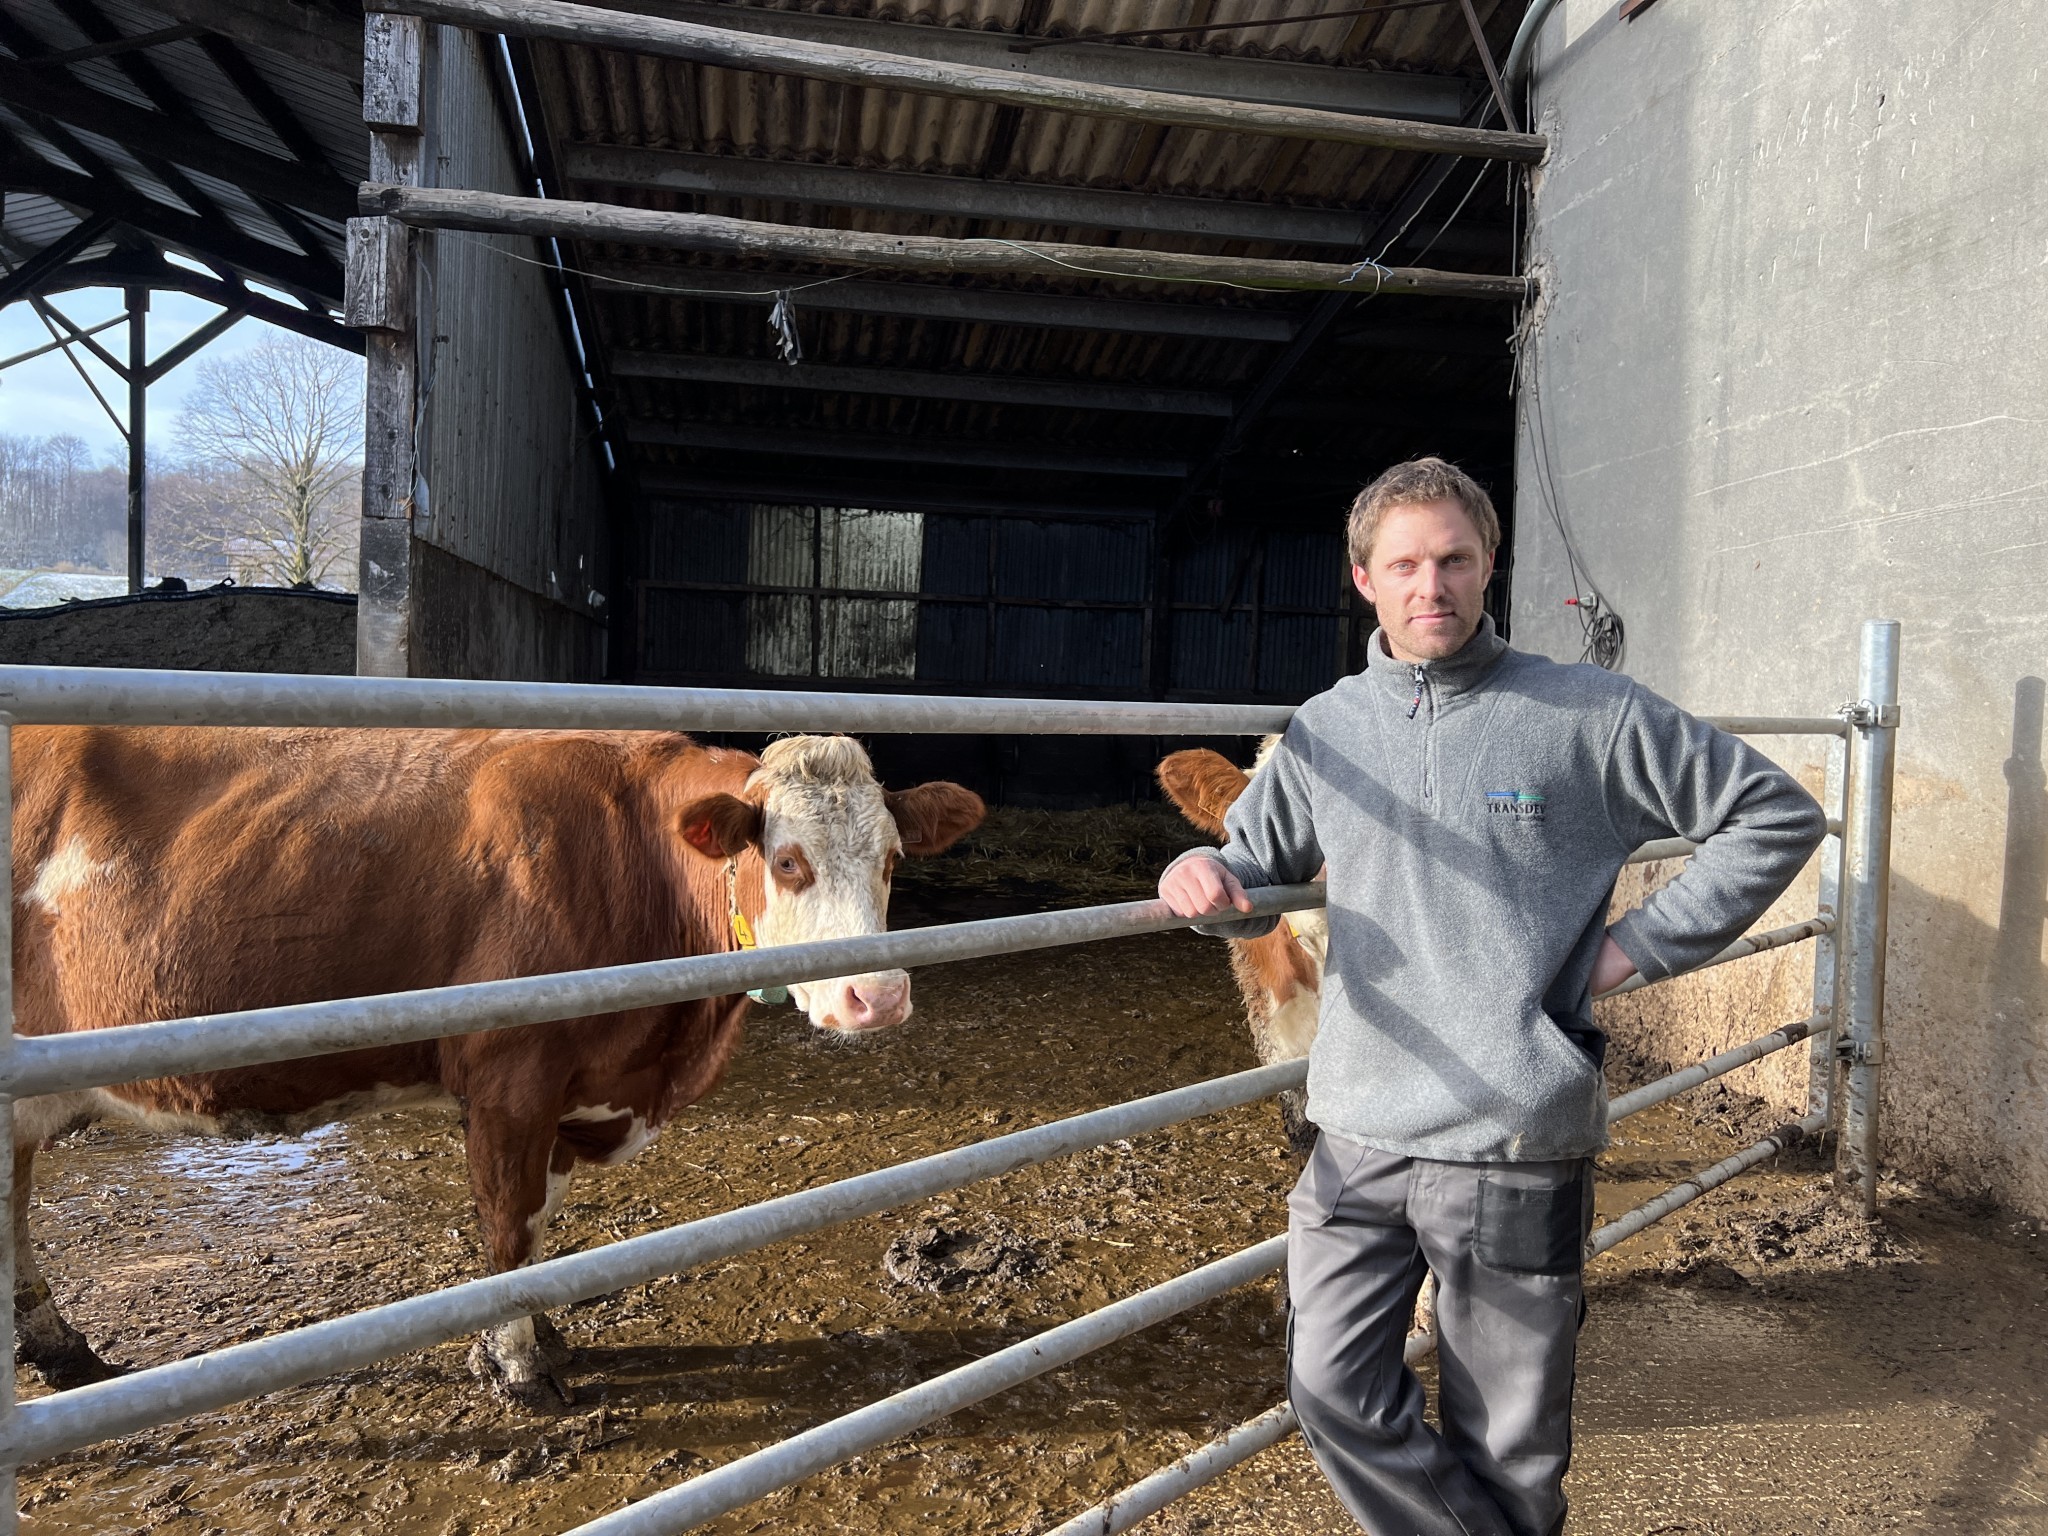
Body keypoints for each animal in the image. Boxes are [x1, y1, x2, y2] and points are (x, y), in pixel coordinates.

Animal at [8, 729, 983, 1417]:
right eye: (787, 860)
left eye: (893, 860)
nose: (877, 996)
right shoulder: (512, 1081)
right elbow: (510, 1228)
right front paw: (517, 1368)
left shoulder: (566, 1096)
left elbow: (540, 1221)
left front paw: (535, 1337)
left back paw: (57, 1348)